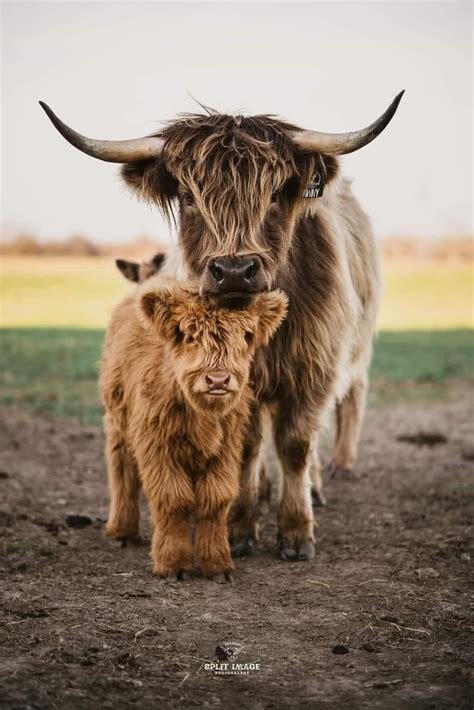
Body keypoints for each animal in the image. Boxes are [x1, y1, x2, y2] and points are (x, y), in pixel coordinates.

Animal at [101, 276, 287, 578]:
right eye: (189, 336)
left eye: (246, 336)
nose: (218, 380)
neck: (202, 416)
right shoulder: (158, 446)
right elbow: (174, 499)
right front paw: (173, 563)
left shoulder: (226, 450)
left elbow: (215, 500)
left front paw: (217, 563)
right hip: (118, 422)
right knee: (123, 471)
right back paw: (122, 532)